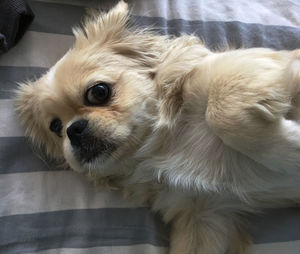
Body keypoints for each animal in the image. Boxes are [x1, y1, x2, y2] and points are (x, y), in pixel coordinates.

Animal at [14, 1, 300, 254]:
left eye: (98, 92)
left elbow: (222, 113)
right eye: (55, 126)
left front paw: (292, 146)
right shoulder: (206, 216)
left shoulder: (246, 69)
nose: (73, 129)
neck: (161, 146)